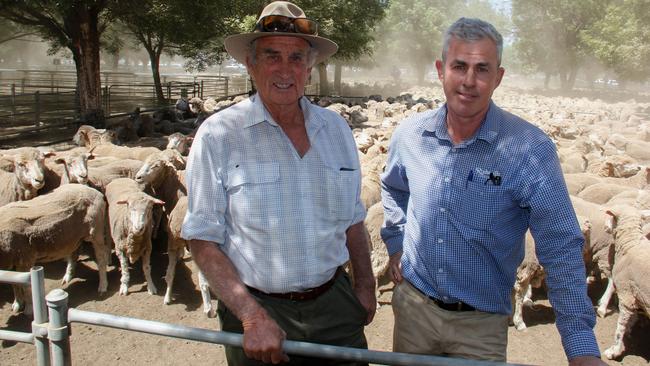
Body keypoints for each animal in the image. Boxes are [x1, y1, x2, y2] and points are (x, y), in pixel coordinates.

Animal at [0, 184, 109, 314]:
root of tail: (95, 192)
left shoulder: (25, 259)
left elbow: (26, 286)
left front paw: (29, 309)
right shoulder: (12, 263)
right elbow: (14, 283)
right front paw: (17, 304)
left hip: (95, 230)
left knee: (101, 258)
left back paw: (103, 286)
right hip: (73, 237)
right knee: (73, 254)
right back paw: (68, 276)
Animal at [600, 206, 648, 360]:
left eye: (610, 216)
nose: (605, 226)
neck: (631, 242)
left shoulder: (626, 293)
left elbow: (620, 326)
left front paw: (614, 350)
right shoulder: (635, 293)